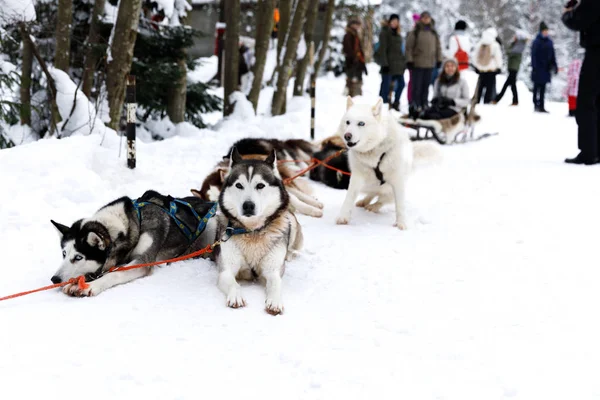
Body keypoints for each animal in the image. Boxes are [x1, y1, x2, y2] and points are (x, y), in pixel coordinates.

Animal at [50, 189, 217, 296]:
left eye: (78, 257)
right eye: (64, 254)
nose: (54, 279)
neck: (133, 222)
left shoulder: (143, 260)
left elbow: (115, 273)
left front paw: (92, 285)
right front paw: (75, 283)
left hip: (211, 225)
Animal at [213, 148, 302, 316]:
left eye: (260, 185)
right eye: (239, 185)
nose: (248, 205)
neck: (252, 232)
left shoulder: (273, 270)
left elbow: (275, 283)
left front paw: (275, 301)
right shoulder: (226, 270)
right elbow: (233, 283)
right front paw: (236, 296)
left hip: (290, 223)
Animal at [332, 97, 440, 230]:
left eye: (361, 123)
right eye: (348, 122)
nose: (347, 136)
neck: (375, 152)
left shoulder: (397, 181)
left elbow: (399, 205)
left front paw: (401, 223)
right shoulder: (357, 177)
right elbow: (349, 197)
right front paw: (343, 216)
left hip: (390, 188)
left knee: (383, 199)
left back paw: (373, 206)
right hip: (369, 185)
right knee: (373, 194)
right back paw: (365, 202)